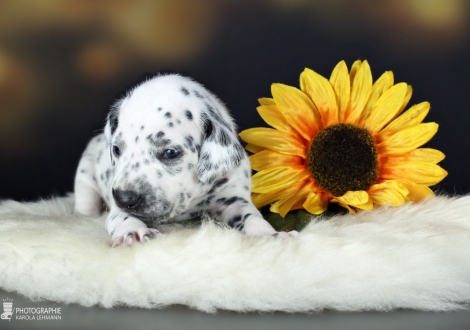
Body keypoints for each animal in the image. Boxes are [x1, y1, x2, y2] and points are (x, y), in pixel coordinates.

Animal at [75, 73, 300, 246]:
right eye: (116, 149)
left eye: (170, 153)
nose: (124, 198)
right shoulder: (118, 209)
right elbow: (122, 218)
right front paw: (134, 232)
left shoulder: (234, 199)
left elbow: (253, 218)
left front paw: (273, 235)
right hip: (84, 180)